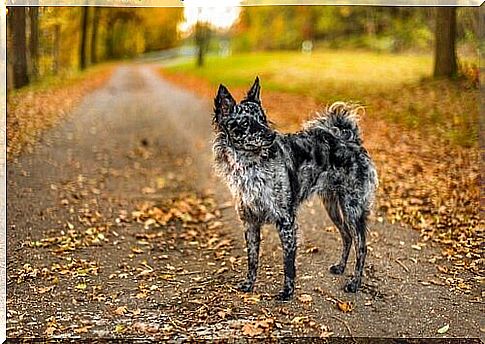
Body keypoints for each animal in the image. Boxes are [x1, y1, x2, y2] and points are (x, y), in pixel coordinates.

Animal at [212, 76, 378, 300]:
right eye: (245, 123)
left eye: (262, 118)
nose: (271, 135)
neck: (251, 164)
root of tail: (350, 139)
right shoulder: (250, 222)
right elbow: (252, 259)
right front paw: (249, 284)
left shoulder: (286, 220)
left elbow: (288, 263)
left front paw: (287, 292)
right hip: (333, 206)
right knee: (347, 235)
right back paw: (341, 267)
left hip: (353, 208)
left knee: (362, 246)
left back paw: (355, 283)